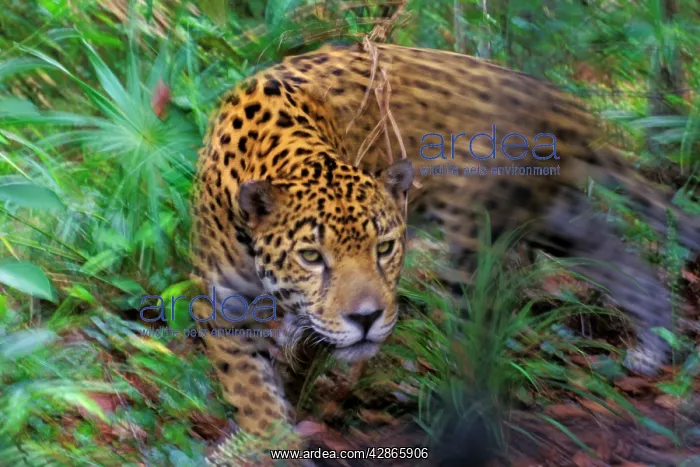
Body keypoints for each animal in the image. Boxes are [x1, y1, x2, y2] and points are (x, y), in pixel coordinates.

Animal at [190, 41, 700, 464]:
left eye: (385, 248)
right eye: (312, 257)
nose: (366, 319)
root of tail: (565, 105)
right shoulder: (221, 298)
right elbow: (248, 383)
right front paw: (266, 436)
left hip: (478, 241)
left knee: (475, 342)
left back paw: (456, 420)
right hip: (558, 221)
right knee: (625, 261)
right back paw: (653, 348)